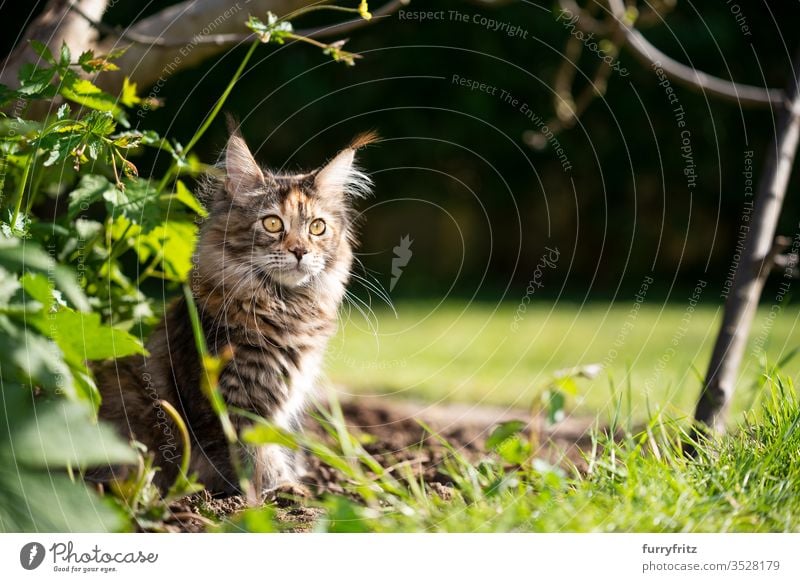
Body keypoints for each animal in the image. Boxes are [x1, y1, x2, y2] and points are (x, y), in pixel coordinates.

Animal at [93, 129, 376, 498]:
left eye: (317, 227)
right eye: (272, 223)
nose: (300, 251)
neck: (283, 307)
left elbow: (274, 449)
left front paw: (287, 487)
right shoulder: (231, 404)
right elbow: (254, 458)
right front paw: (268, 495)